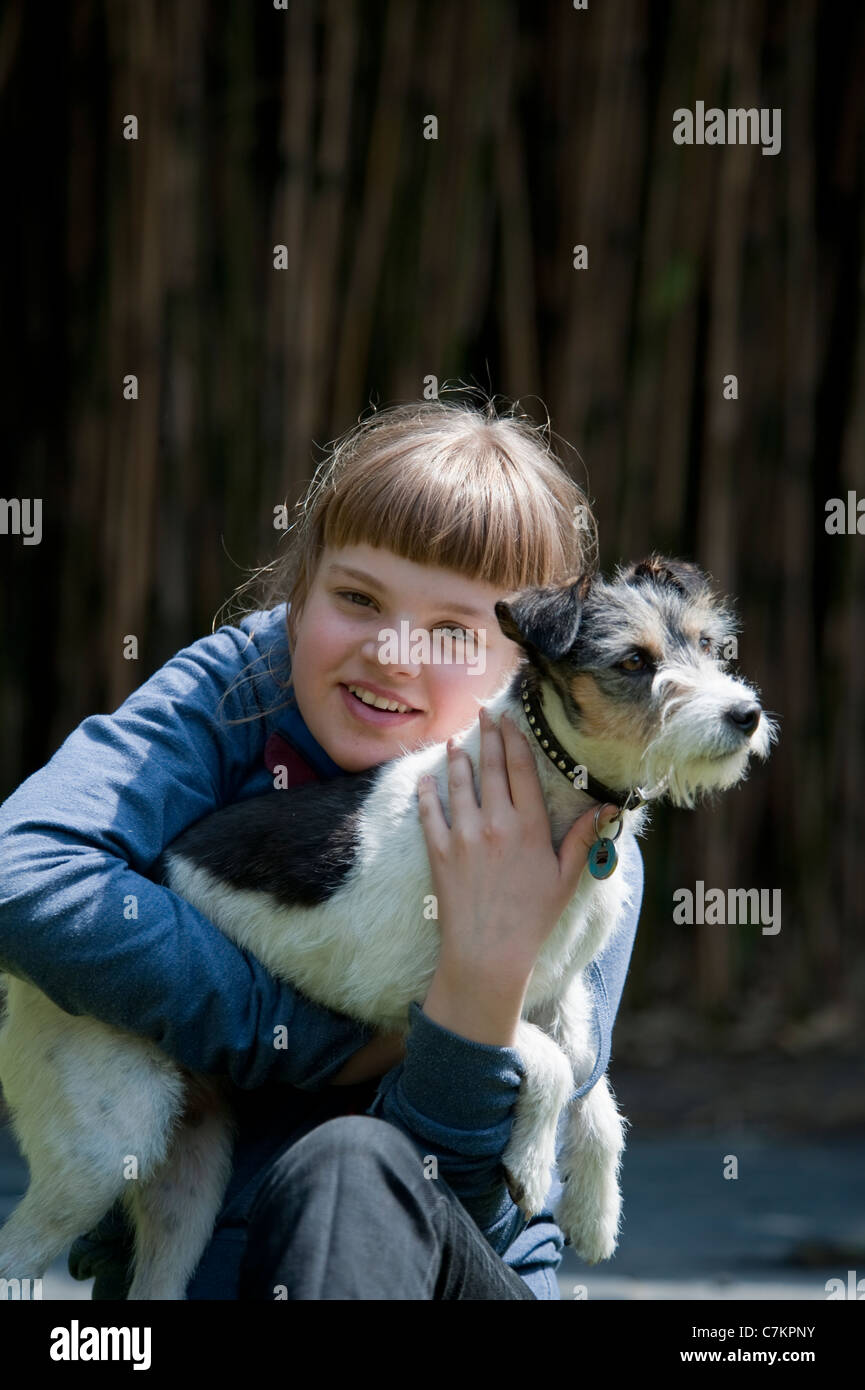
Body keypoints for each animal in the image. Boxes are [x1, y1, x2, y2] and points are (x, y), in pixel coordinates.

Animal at [0, 550, 778, 1289]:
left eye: (709, 645)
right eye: (632, 662)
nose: (745, 715)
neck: (551, 792)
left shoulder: (556, 991)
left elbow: (593, 1078)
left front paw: (594, 1208)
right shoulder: (418, 990)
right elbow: (555, 1064)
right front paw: (530, 1165)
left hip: (187, 1176)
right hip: (108, 1139)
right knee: (20, 1249)